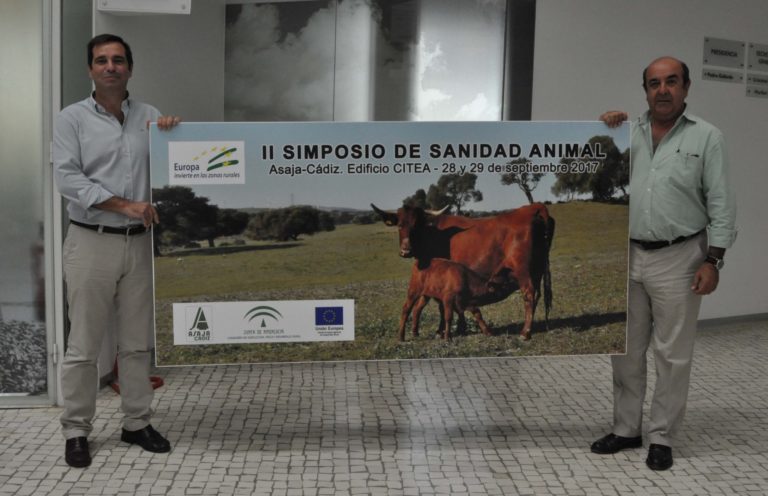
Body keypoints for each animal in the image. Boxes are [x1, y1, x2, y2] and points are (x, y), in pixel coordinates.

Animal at [370, 202, 556, 340]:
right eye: (400, 225)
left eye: (416, 226)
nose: (405, 251)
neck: (433, 232)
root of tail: (533, 208)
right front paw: (459, 329)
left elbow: (441, 306)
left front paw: (442, 331)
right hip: (537, 271)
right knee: (536, 295)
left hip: (523, 271)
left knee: (529, 295)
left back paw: (525, 332)